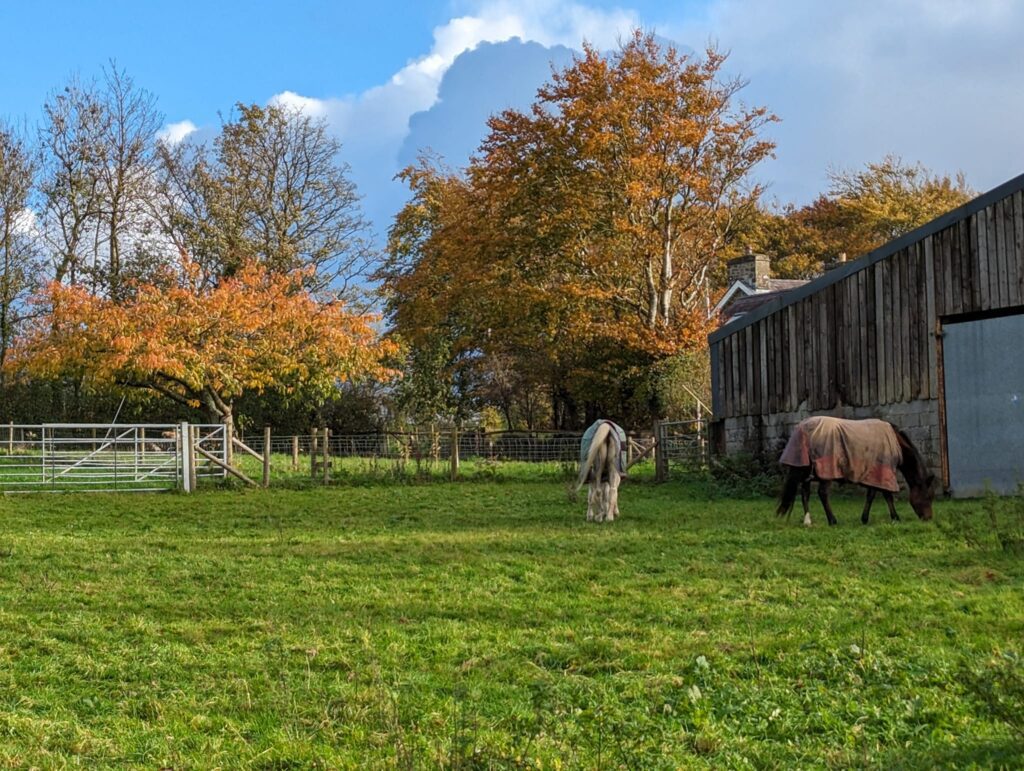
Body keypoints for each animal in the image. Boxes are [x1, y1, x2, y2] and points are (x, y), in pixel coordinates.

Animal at [774, 417, 937, 528]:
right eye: (928, 497)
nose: (928, 518)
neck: (896, 442)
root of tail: (804, 428)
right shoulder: (882, 472)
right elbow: (887, 496)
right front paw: (895, 517)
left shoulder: (873, 474)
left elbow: (871, 496)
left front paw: (865, 519)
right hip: (826, 471)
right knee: (822, 493)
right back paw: (832, 520)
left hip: (806, 471)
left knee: (805, 494)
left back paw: (807, 521)